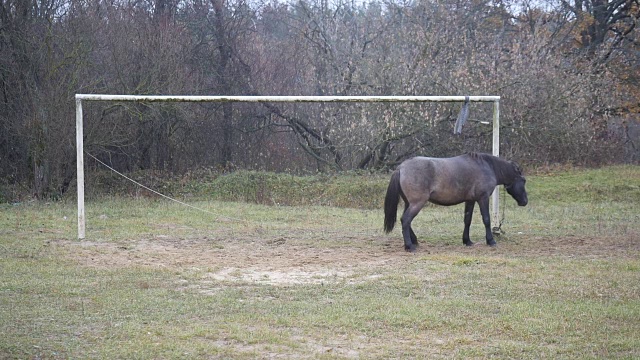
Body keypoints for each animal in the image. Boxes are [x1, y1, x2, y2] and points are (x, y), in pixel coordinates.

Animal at [382, 153, 528, 252]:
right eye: (524, 181)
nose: (525, 201)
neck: (487, 167)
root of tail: (401, 167)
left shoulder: (470, 201)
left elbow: (467, 220)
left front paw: (467, 241)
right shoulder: (483, 198)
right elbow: (486, 219)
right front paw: (490, 240)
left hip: (410, 203)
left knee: (406, 221)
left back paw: (414, 241)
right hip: (417, 203)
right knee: (406, 220)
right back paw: (409, 246)